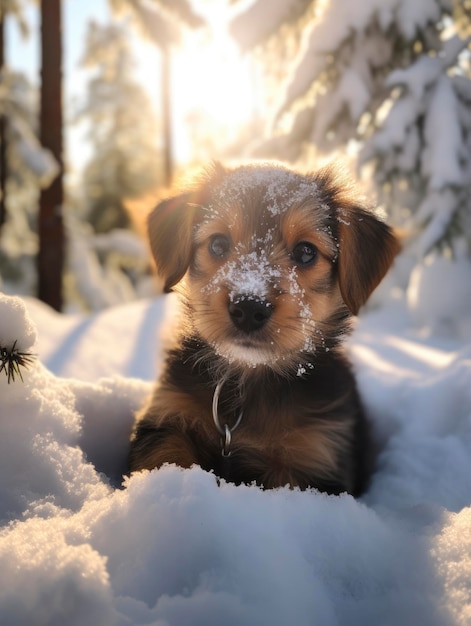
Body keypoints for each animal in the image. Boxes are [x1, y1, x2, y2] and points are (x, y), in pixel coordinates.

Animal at [127, 161, 400, 492]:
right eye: (217, 244)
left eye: (306, 252)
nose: (249, 307)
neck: (248, 382)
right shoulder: (167, 417)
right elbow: (163, 458)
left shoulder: (315, 454)